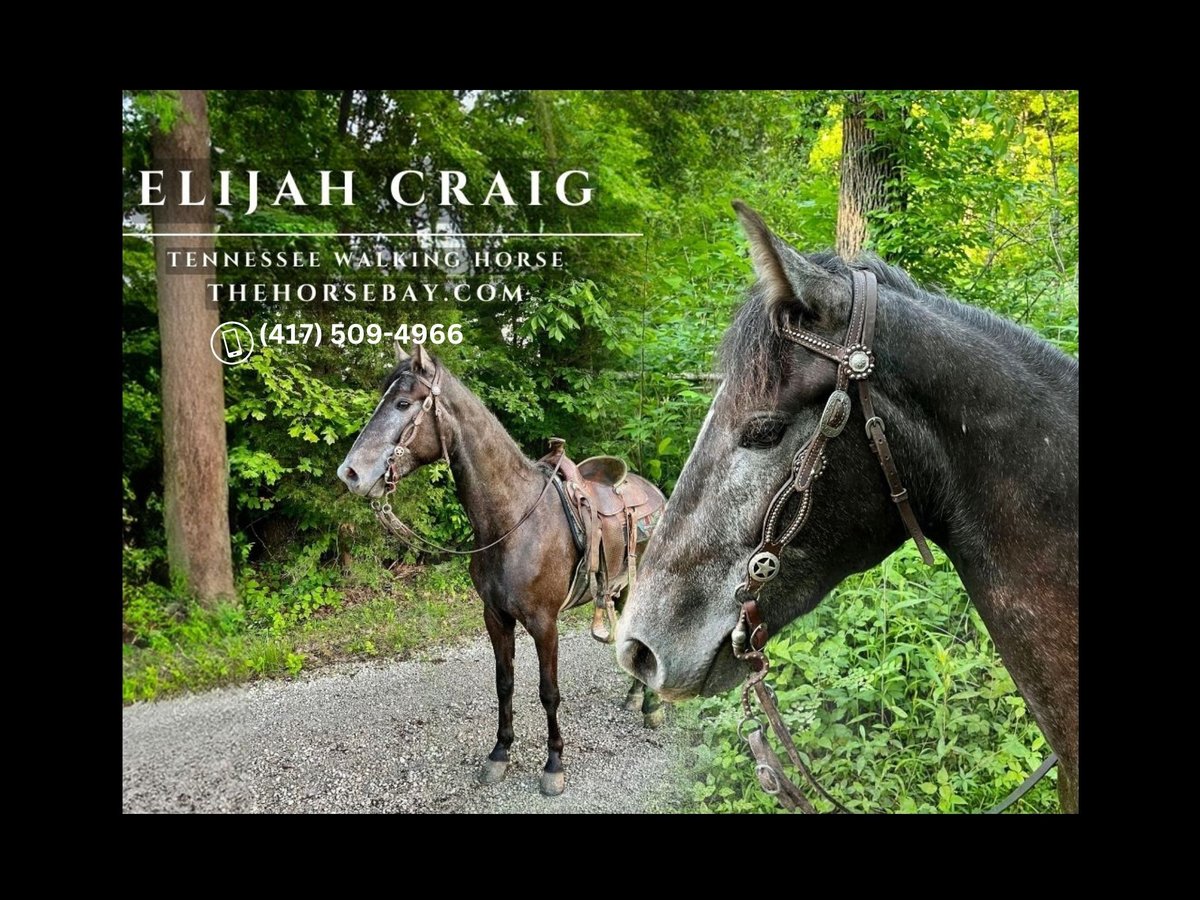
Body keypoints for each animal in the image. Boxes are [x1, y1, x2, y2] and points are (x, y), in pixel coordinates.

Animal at [337, 342, 665, 796]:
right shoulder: (495, 616)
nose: (349, 473)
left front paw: (554, 765)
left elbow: (548, 692)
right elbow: (504, 684)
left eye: (403, 403)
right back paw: (636, 697)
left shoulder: (544, 622)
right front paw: (499, 754)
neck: (513, 520)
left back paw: (650, 706)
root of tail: (655, 493)